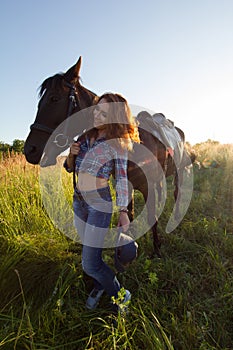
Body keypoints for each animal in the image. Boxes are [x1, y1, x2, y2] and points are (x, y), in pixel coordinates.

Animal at [24, 56, 194, 256]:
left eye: (54, 98)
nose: (30, 150)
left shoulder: (148, 186)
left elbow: (151, 216)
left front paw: (157, 249)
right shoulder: (127, 185)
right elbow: (129, 215)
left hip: (179, 171)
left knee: (177, 192)